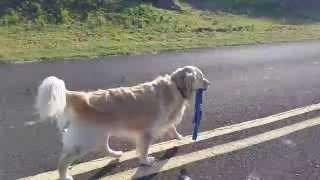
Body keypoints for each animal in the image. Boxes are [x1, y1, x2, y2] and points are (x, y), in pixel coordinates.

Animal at [35, 65, 210, 179]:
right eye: (200, 77)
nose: (209, 83)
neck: (175, 86)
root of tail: (81, 97)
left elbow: (172, 127)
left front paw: (179, 137)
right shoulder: (146, 132)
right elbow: (144, 150)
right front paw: (146, 162)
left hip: (100, 133)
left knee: (104, 147)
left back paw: (116, 154)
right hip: (85, 140)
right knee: (63, 162)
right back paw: (64, 176)